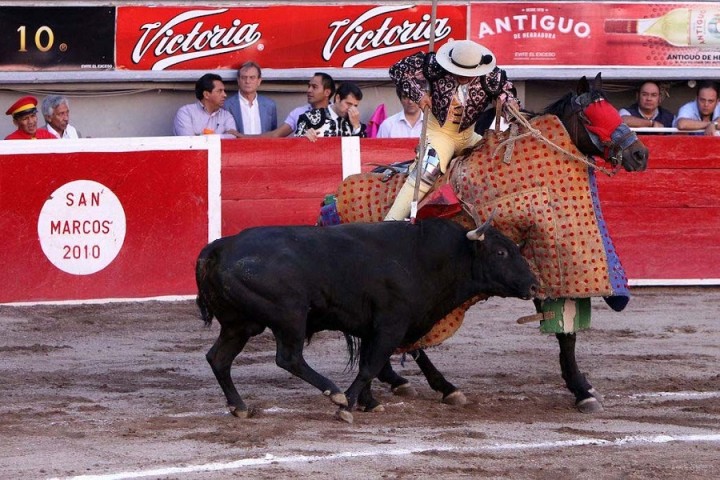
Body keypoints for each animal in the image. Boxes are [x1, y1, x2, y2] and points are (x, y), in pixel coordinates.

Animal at [194, 218, 536, 424]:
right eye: (501, 252)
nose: (534, 285)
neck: (425, 257)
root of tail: (220, 246)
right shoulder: (391, 325)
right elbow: (370, 365)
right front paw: (348, 406)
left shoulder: (374, 329)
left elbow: (372, 364)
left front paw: (369, 402)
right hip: (290, 316)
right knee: (288, 358)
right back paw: (334, 393)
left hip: (239, 325)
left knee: (218, 358)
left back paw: (239, 407)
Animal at [330, 73, 648, 414]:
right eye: (590, 117)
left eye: (613, 110)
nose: (640, 154)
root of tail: (334, 199)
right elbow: (563, 330)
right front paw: (581, 389)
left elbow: (565, 328)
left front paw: (582, 387)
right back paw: (439, 387)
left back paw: (401, 381)